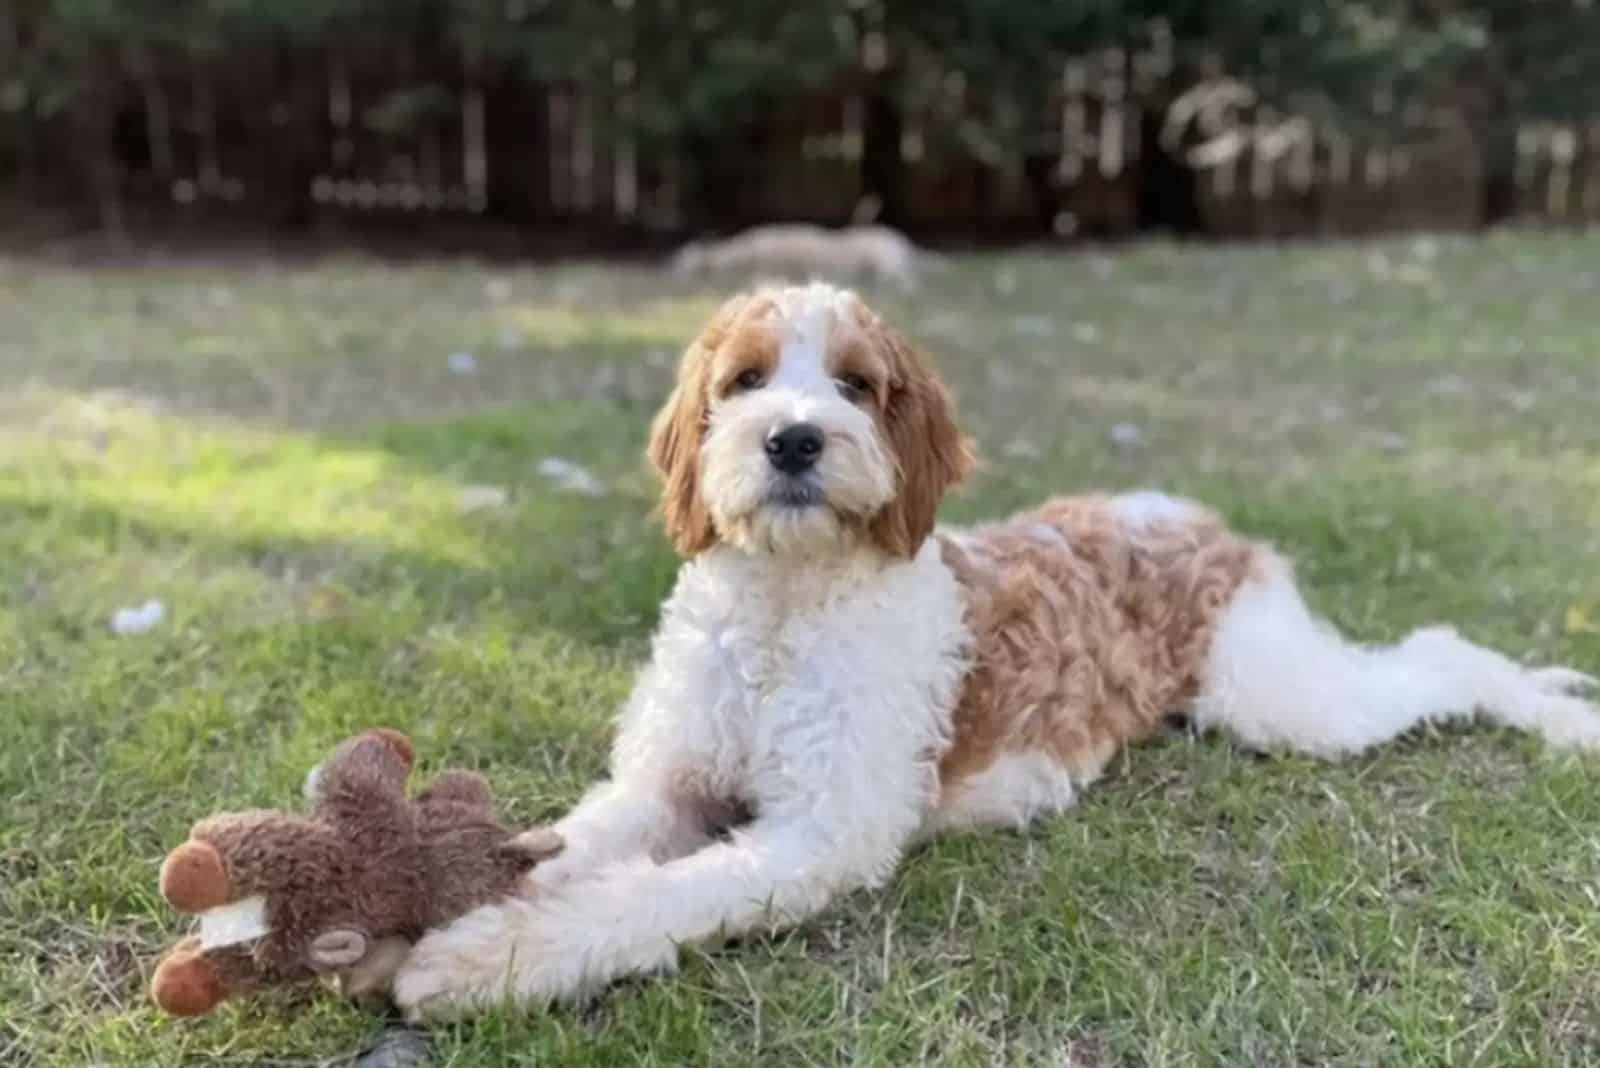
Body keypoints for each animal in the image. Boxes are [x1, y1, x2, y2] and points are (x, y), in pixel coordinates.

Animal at [390, 279, 1600, 1016]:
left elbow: (648, 898)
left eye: (856, 385)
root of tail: (1184, 514)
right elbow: (571, 848)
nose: (794, 439)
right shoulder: (664, 781)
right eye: (743, 381)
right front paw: (458, 906)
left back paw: (1561, 714)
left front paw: (483, 959)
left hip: (1280, 696)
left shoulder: (817, 835)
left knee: (1444, 656)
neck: (785, 607)